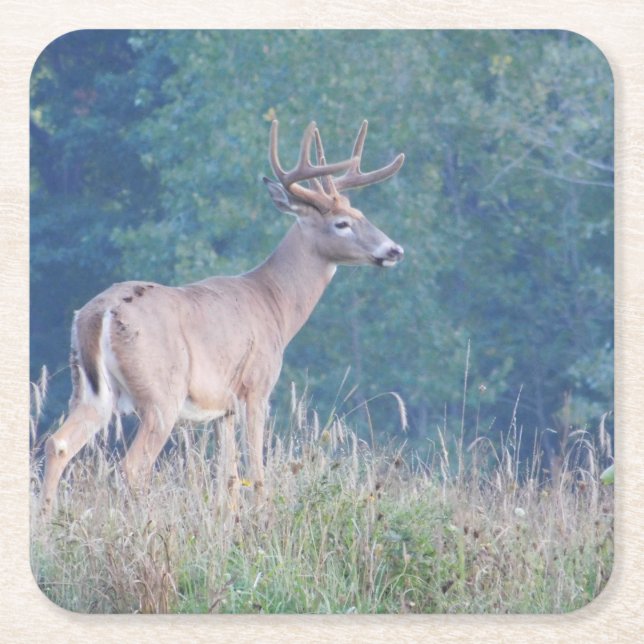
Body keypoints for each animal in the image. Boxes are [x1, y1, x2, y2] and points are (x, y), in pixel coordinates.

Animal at [39, 119, 405, 516]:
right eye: (341, 223)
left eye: (362, 215)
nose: (394, 249)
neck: (274, 303)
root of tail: (98, 313)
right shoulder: (257, 386)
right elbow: (256, 469)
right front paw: (263, 515)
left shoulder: (222, 408)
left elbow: (227, 480)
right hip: (160, 393)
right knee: (134, 464)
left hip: (90, 388)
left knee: (58, 442)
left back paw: (47, 517)